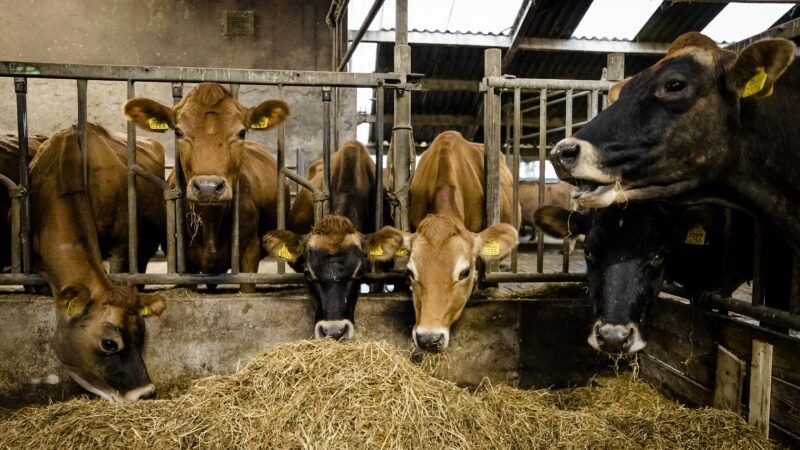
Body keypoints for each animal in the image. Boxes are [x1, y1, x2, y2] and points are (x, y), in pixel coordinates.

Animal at [123, 83, 290, 292]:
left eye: (242, 132)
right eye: (178, 132)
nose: (208, 187)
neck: (211, 220)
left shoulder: (250, 251)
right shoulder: (183, 261)